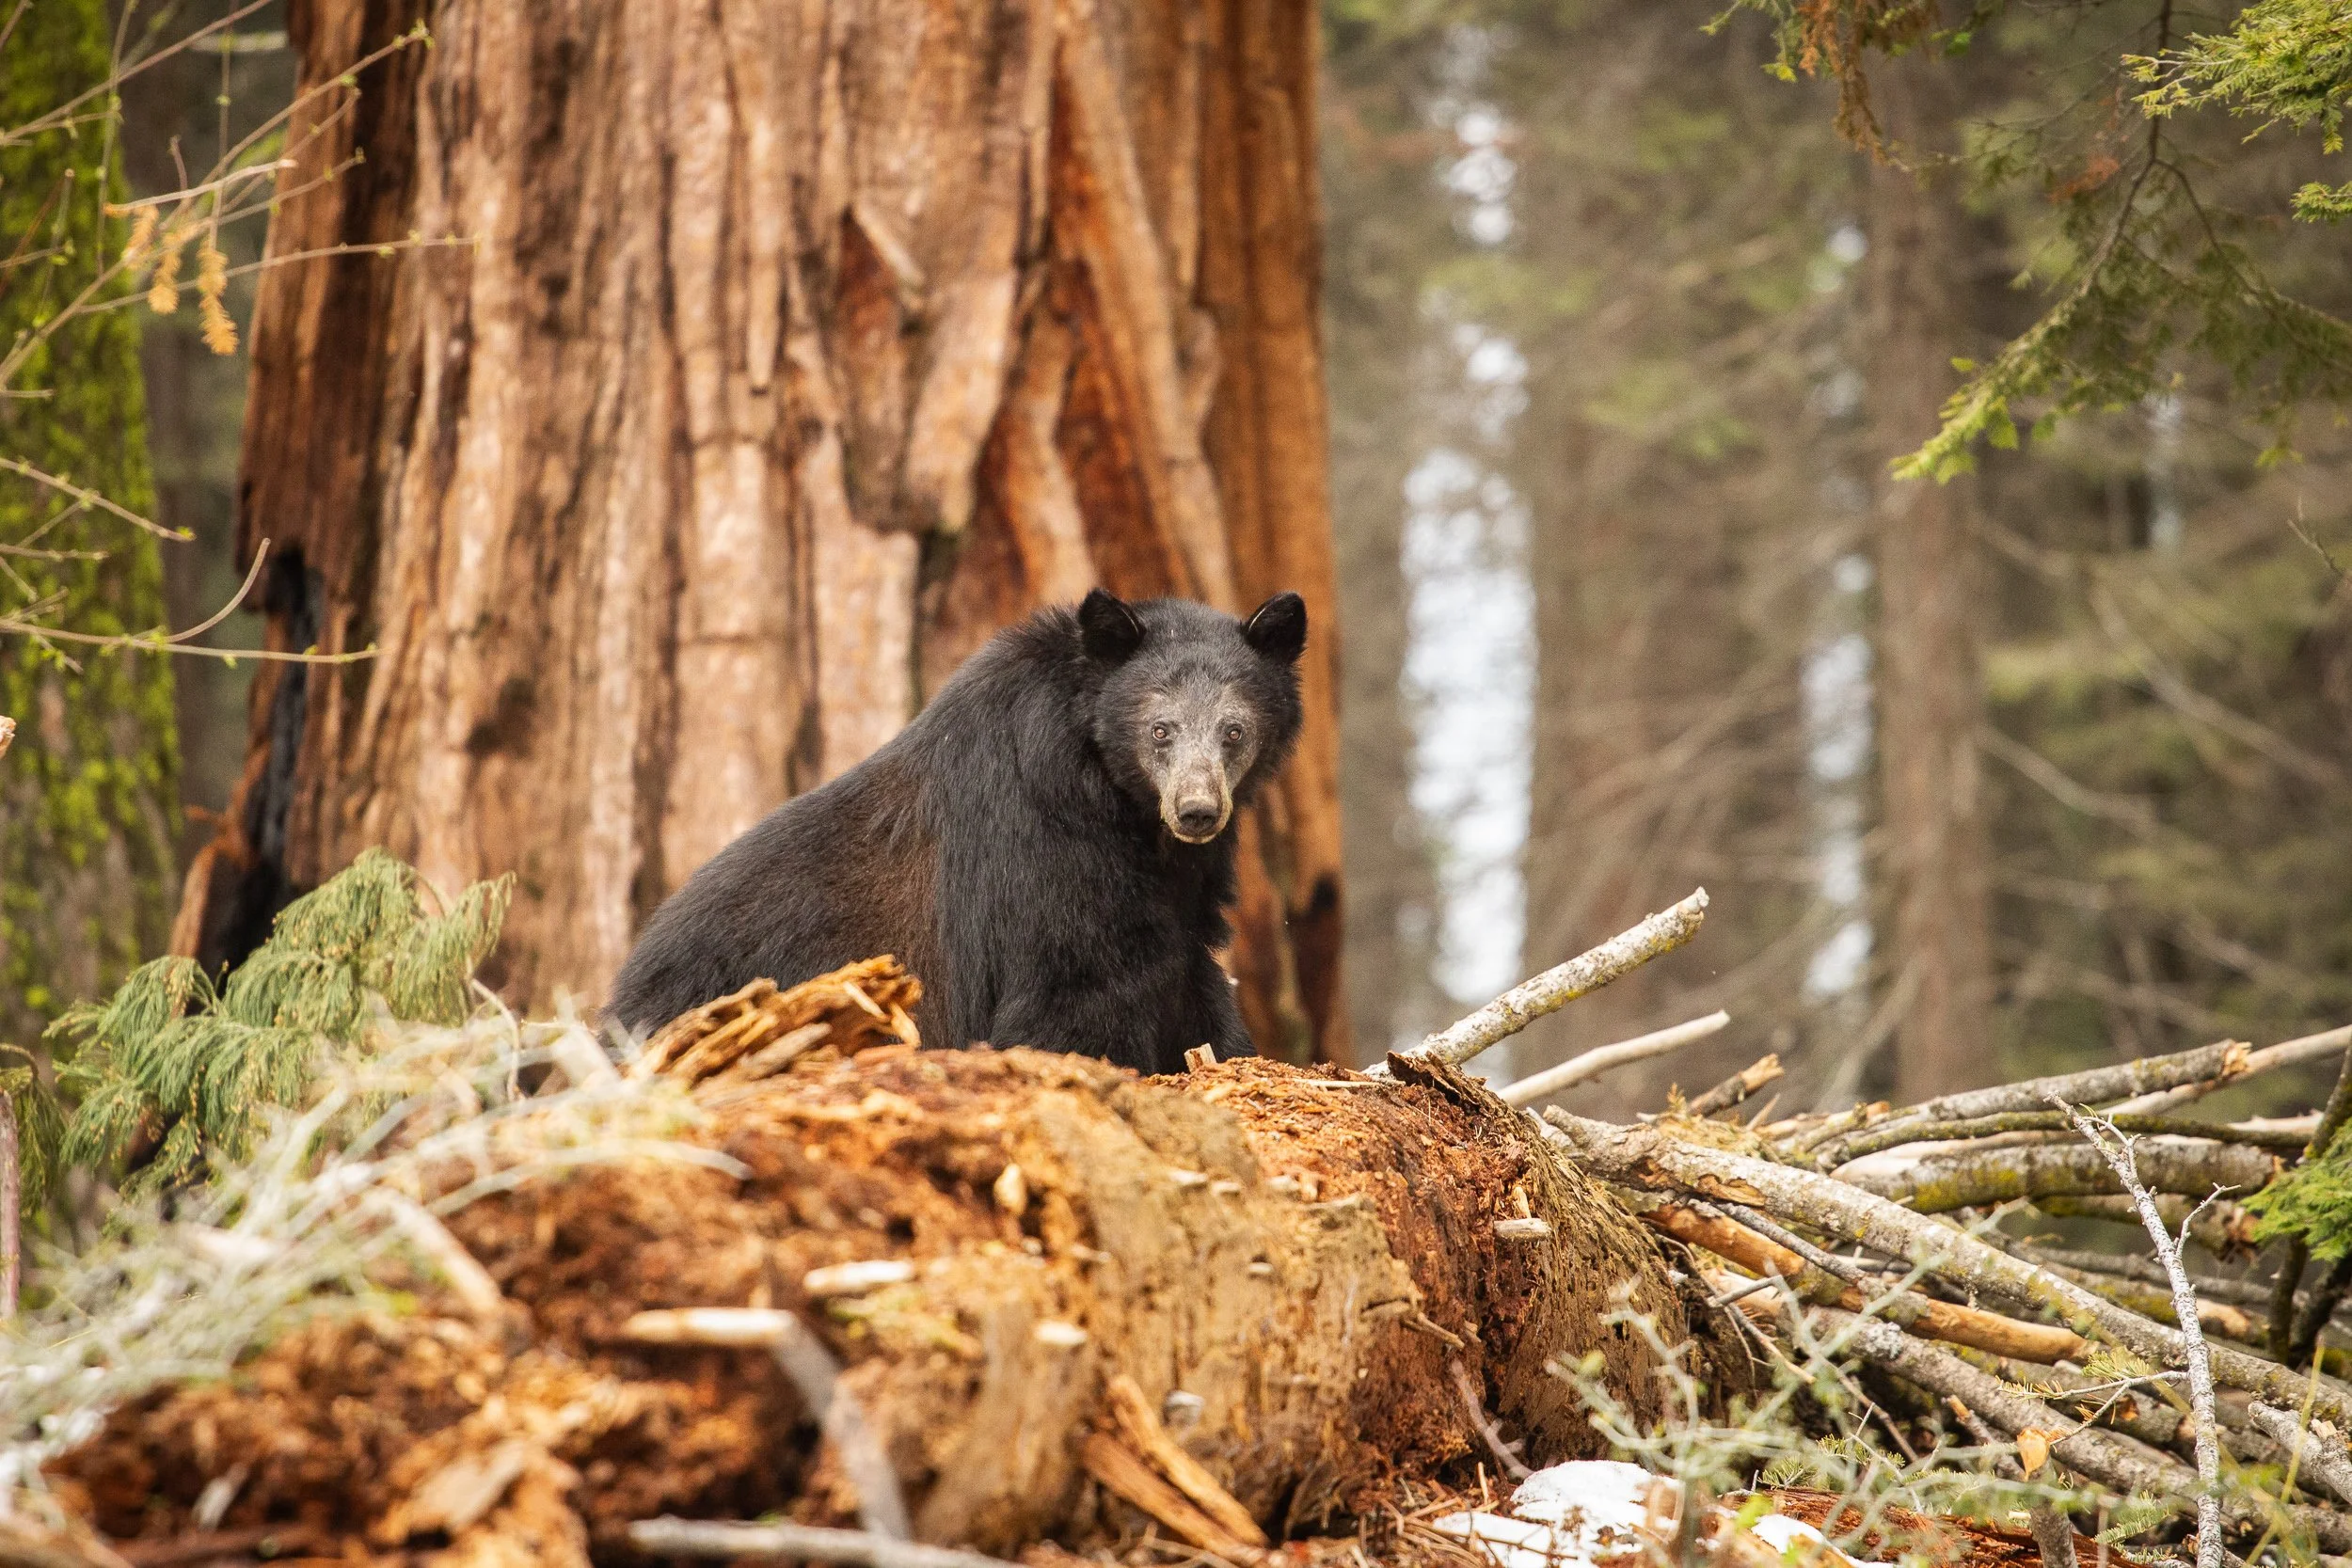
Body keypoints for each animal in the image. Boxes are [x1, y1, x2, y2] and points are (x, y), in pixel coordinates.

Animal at [604, 587, 1308, 1072]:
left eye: (1234, 730)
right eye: (1160, 729)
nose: (1197, 810)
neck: (1117, 799)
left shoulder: (1181, 884)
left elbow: (1190, 973)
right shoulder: (1042, 840)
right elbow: (1074, 985)